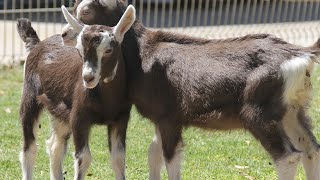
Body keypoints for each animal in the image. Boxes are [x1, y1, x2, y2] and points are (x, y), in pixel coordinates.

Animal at [67, 1, 320, 180]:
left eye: (87, 11)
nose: (64, 35)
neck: (144, 54)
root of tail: (302, 53)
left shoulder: (169, 117)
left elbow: (171, 159)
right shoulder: (161, 118)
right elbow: (154, 154)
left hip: (259, 113)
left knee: (287, 157)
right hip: (292, 111)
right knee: (311, 150)